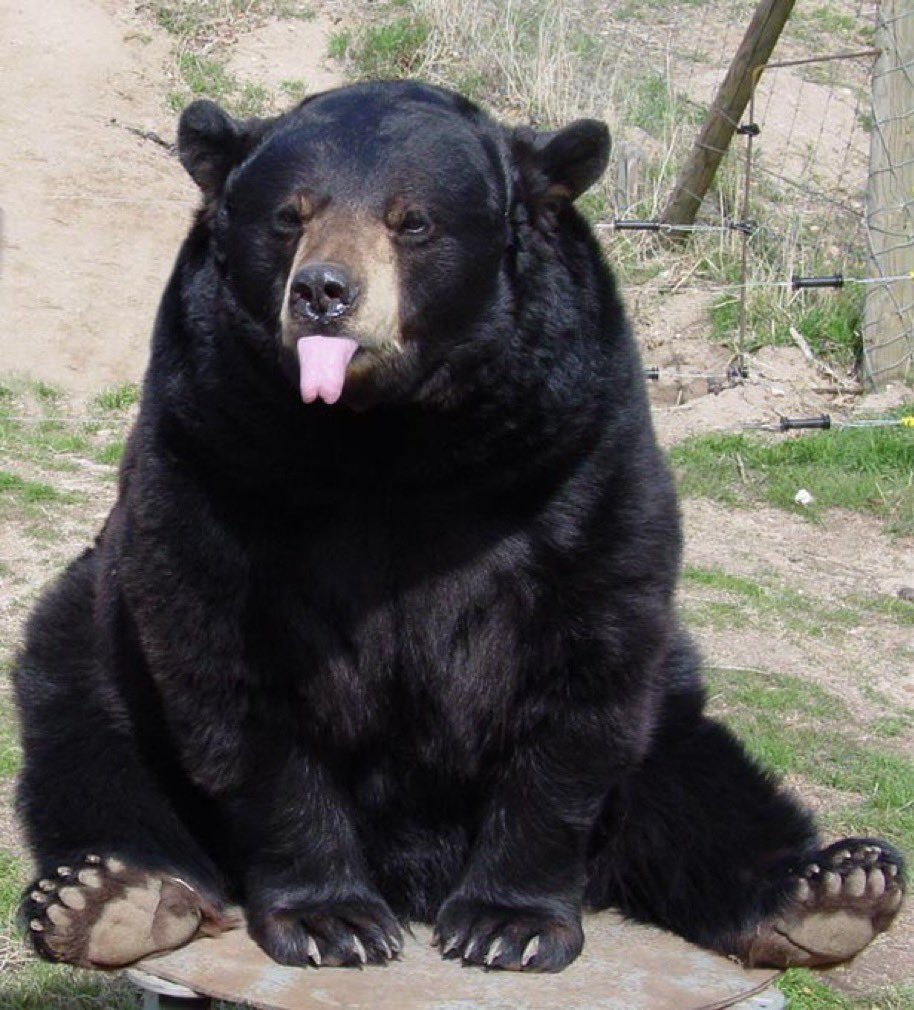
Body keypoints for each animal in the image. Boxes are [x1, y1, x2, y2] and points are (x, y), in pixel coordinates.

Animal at [14, 80, 904, 975]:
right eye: (289, 217)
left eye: (412, 222)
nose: (324, 292)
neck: (388, 438)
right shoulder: (213, 448)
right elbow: (229, 666)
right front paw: (332, 918)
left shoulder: (575, 449)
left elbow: (585, 663)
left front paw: (509, 922)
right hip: (92, 644)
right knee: (92, 751)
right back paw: (115, 897)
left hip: (676, 714)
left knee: (702, 789)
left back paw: (830, 890)